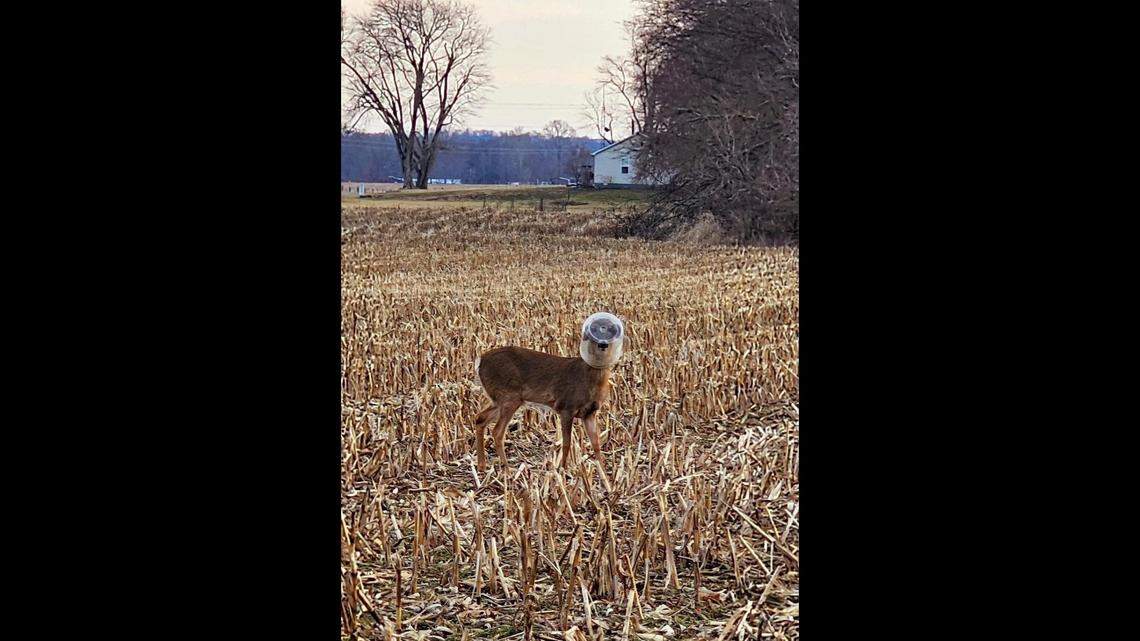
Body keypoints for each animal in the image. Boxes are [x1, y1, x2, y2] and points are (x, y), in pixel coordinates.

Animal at [472, 312, 626, 473]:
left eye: (611, 329)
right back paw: (507, 470)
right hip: (509, 397)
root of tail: (480, 361)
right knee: (497, 431)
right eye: (593, 329)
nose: (603, 344)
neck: (591, 382)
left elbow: (596, 443)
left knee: (480, 418)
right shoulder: (566, 407)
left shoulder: (589, 413)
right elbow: (567, 443)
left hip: (500, 399)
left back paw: (482, 466)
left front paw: (604, 471)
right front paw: (563, 469)